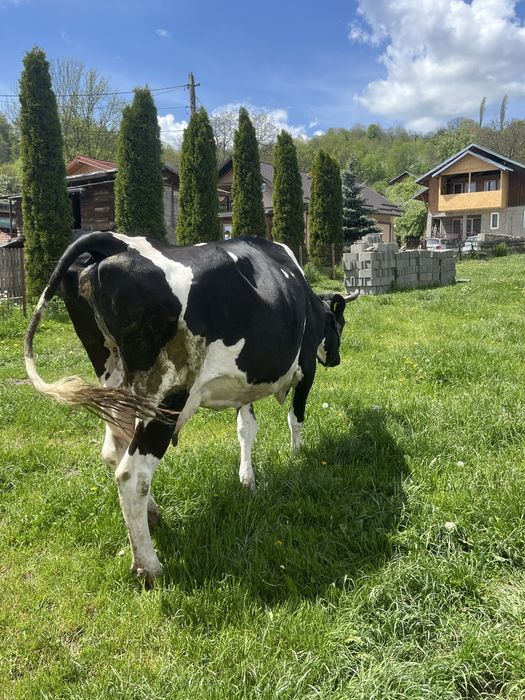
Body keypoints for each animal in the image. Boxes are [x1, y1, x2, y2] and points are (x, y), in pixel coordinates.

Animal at [24, 232, 358, 580]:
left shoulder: (244, 386)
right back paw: (149, 566)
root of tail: (117, 241)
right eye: (339, 324)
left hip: (115, 386)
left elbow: (246, 430)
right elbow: (296, 417)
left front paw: (248, 481)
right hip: (164, 395)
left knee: (113, 452)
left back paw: (153, 517)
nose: (336, 359)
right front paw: (297, 455)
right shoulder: (307, 367)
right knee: (132, 474)